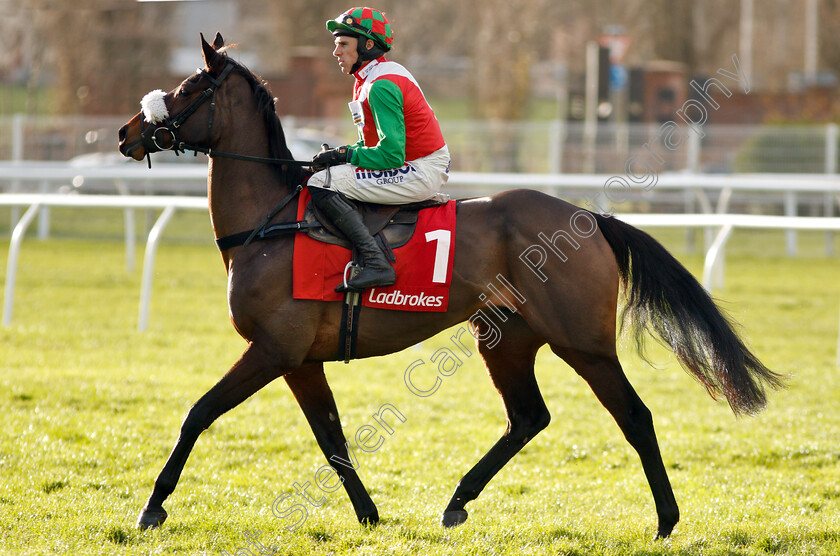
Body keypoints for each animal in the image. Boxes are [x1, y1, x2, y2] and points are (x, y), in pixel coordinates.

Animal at [116, 34, 780, 540]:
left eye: (187, 90)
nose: (127, 133)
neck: (269, 223)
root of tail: (590, 219)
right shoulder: (300, 359)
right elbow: (333, 439)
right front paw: (369, 514)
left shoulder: (274, 348)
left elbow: (198, 414)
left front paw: (152, 506)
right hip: (506, 337)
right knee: (527, 417)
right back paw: (458, 500)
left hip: (584, 344)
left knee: (634, 416)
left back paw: (666, 520)